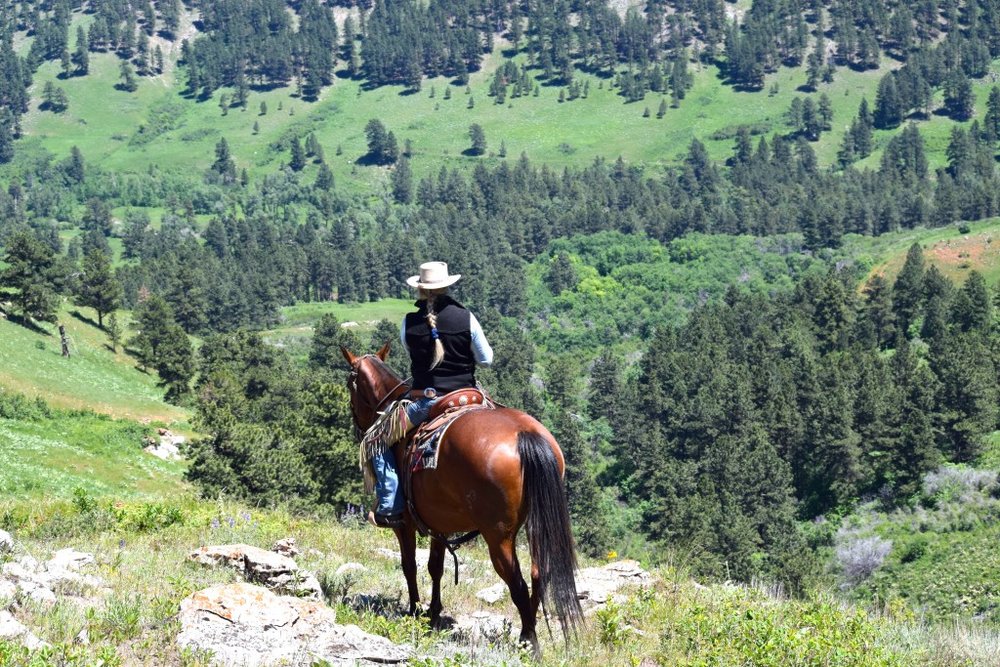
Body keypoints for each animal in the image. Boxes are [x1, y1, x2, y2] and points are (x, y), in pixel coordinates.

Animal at [342, 342, 584, 656]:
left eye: (350, 383)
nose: (357, 424)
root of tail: (526, 435)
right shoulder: (438, 522)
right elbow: (435, 567)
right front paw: (432, 613)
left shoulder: (404, 524)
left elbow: (409, 565)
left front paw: (414, 610)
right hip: (535, 524)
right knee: (539, 573)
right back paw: (526, 631)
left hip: (498, 535)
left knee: (517, 583)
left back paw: (529, 640)